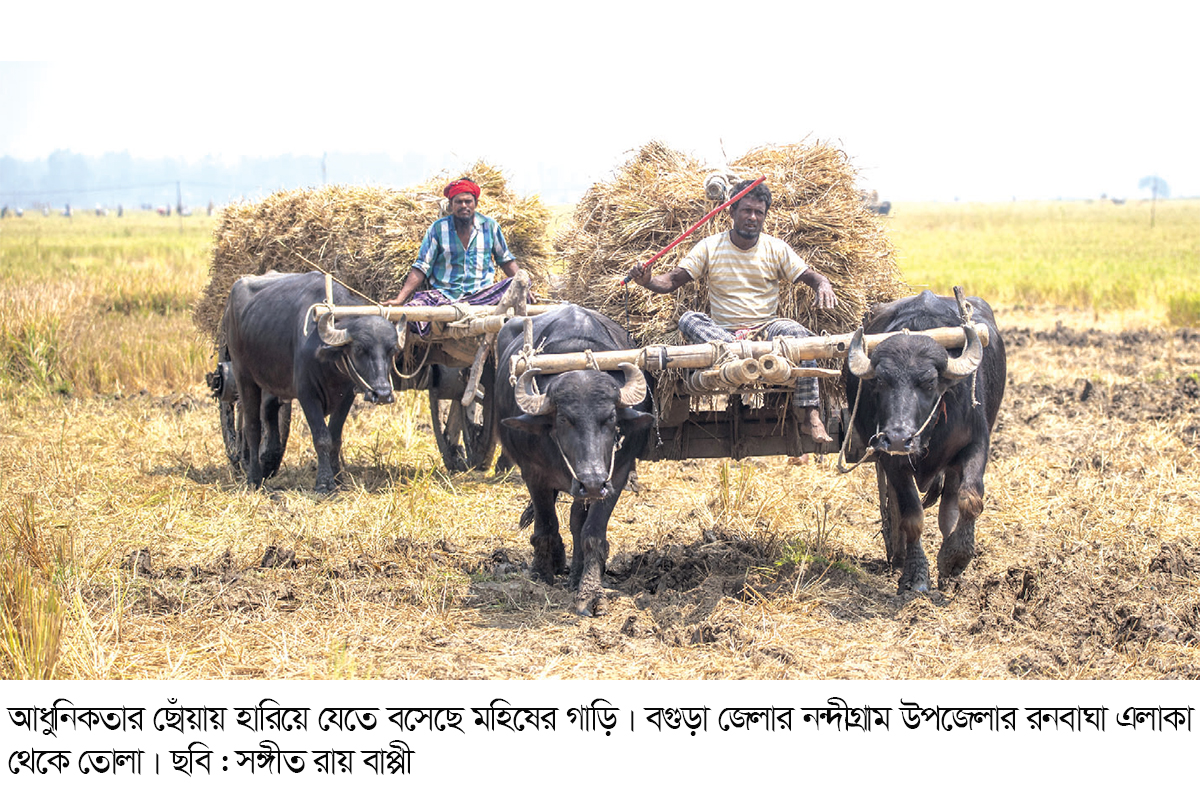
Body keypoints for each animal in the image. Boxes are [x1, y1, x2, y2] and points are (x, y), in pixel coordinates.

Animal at [225, 271, 408, 491]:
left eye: (393, 350)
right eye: (358, 349)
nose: (382, 394)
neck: (329, 365)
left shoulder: (346, 396)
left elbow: (335, 437)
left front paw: (339, 479)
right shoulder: (307, 394)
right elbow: (322, 437)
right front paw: (324, 482)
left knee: (269, 410)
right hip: (242, 375)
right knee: (252, 427)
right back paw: (253, 477)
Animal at [494, 305, 657, 619]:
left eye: (611, 418)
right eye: (564, 420)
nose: (591, 481)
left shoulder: (615, 476)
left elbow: (591, 534)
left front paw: (590, 592)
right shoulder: (534, 474)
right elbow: (546, 525)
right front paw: (541, 573)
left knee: (575, 520)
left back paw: (575, 573)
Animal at [840, 292, 1008, 595]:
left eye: (929, 382)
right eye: (880, 380)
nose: (898, 437)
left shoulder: (977, 443)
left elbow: (970, 498)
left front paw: (955, 558)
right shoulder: (891, 460)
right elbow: (912, 517)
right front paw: (916, 574)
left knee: (948, 506)